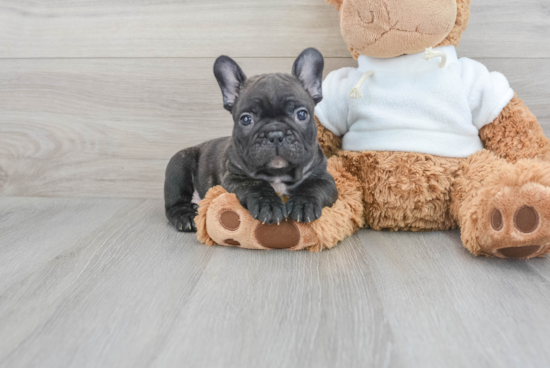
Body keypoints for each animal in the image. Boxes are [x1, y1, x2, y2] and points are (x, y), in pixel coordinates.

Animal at [164, 47, 338, 231]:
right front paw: (268, 205)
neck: (278, 173)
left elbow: (312, 187)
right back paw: (186, 216)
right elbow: (256, 185)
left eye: (302, 114)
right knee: (174, 203)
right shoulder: (234, 177)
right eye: (246, 119)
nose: (275, 134)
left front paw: (303, 203)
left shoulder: (323, 177)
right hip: (179, 164)